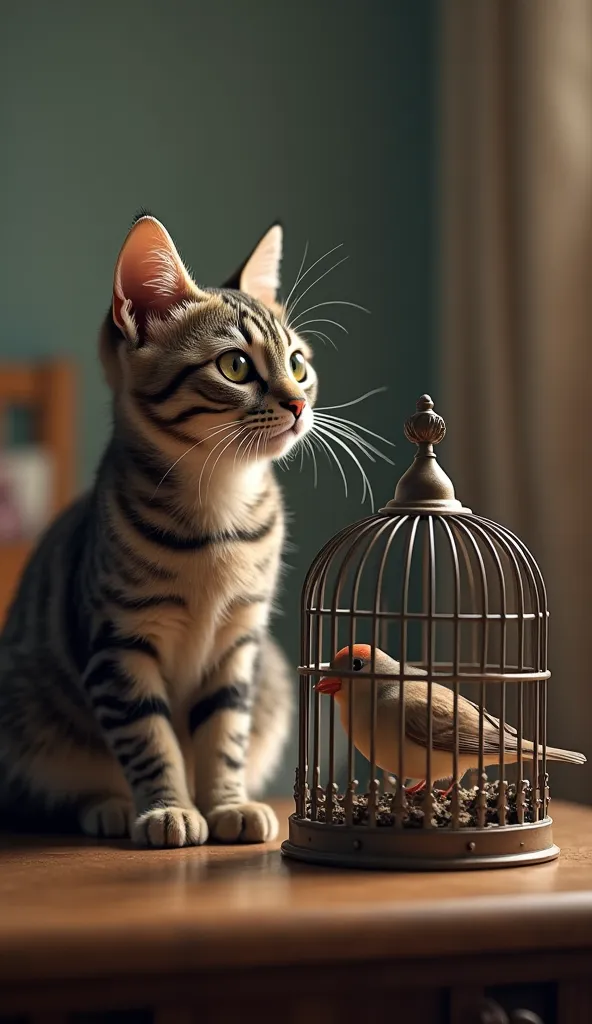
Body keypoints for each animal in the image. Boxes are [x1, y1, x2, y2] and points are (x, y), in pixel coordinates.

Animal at [0, 216, 315, 847]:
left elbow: (224, 734)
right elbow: (150, 738)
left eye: (297, 364)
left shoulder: (239, 644)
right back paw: (110, 805)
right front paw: (169, 808)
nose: (297, 404)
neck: (219, 511)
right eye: (236, 366)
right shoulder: (118, 643)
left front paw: (227, 804)